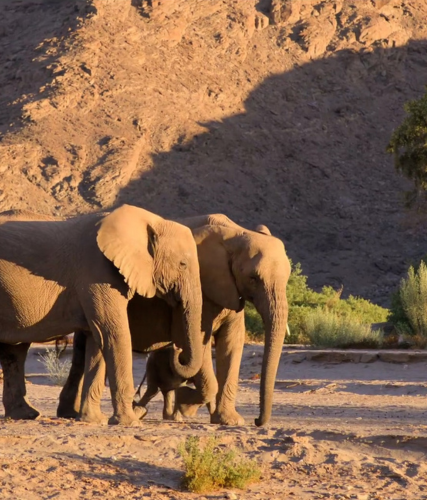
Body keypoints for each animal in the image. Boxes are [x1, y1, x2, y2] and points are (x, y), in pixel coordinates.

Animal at [0, 205, 205, 424]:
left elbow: (97, 339)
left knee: (15, 351)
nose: (177, 348)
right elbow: (113, 334)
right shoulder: (97, 273)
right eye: (183, 264)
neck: (149, 221)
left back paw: (25, 414)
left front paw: (93, 420)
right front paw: (128, 422)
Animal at [58, 213, 290, 428]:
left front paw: (229, 421)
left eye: (288, 277)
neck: (235, 233)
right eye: (253, 278)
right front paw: (185, 405)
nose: (258, 421)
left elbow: (232, 344)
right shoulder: (203, 288)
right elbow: (199, 344)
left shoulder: (229, 290)